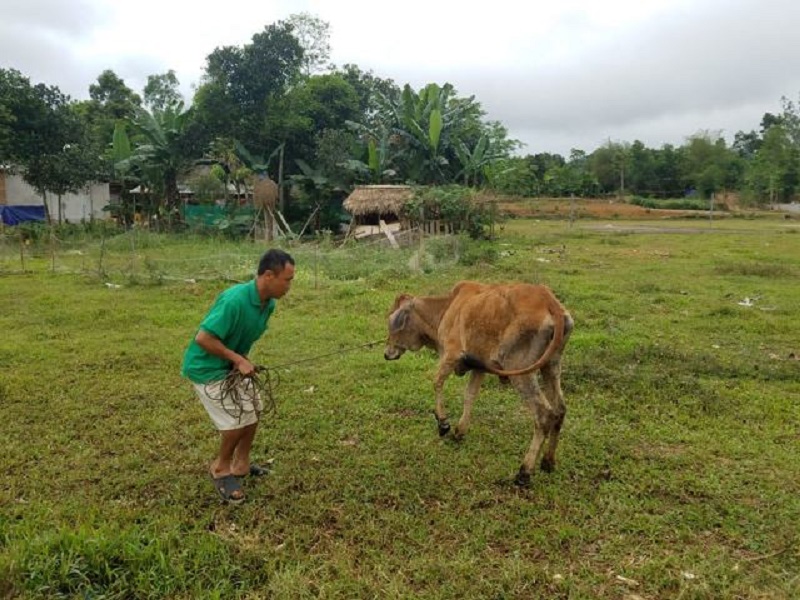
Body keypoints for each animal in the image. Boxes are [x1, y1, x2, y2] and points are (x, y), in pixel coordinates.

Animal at [384, 282, 572, 488]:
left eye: (392, 321)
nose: (387, 353)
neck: (446, 309)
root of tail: (550, 302)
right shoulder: (479, 367)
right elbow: (470, 395)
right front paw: (460, 432)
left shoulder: (451, 355)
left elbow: (437, 382)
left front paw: (443, 423)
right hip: (551, 366)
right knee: (560, 409)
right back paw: (548, 462)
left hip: (521, 371)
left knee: (544, 414)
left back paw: (524, 473)